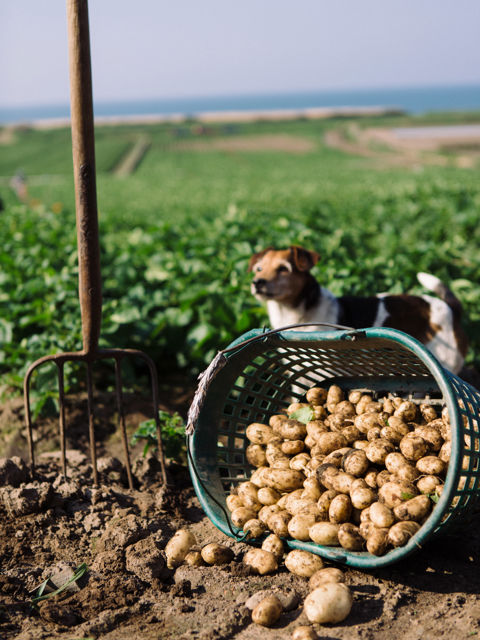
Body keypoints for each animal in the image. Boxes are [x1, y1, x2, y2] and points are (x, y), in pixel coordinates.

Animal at [249, 245, 466, 376]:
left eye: (283, 269)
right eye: (259, 269)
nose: (257, 282)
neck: (295, 312)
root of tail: (450, 308)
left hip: (443, 362)